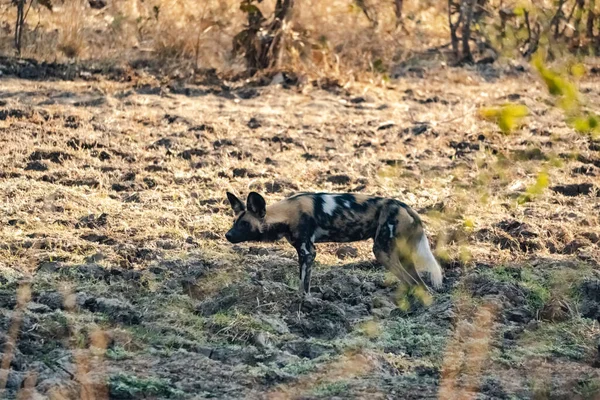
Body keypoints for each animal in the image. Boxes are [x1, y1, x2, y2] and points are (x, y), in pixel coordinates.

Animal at [224, 191, 440, 294]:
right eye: (234, 222)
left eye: (244, 224)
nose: (227, 235)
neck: (285, 213)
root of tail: (406, 207)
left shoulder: (308, 252)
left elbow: (304, 285)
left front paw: (304, 303)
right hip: (402, 255)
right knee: (421, 284)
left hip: (382, 251)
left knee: (410, 282)